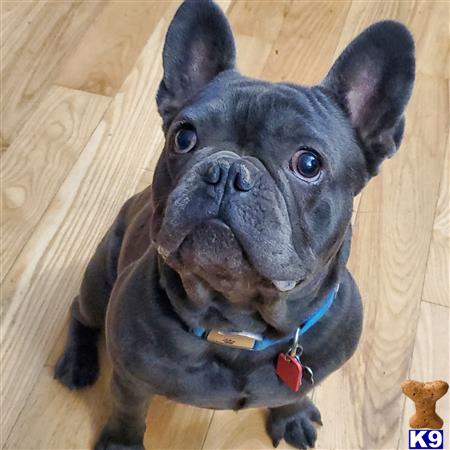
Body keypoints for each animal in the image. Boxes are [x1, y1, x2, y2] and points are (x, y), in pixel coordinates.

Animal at [54, 1, 416, 448]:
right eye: (184, 137)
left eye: (308, 163)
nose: (227, 171)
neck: (236, 323)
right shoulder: (130, 377)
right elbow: (127, 412)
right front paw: (121, 442)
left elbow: (293, 392)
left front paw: (292, 416)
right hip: (99, 280)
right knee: (80, 311)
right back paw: (77, 363)